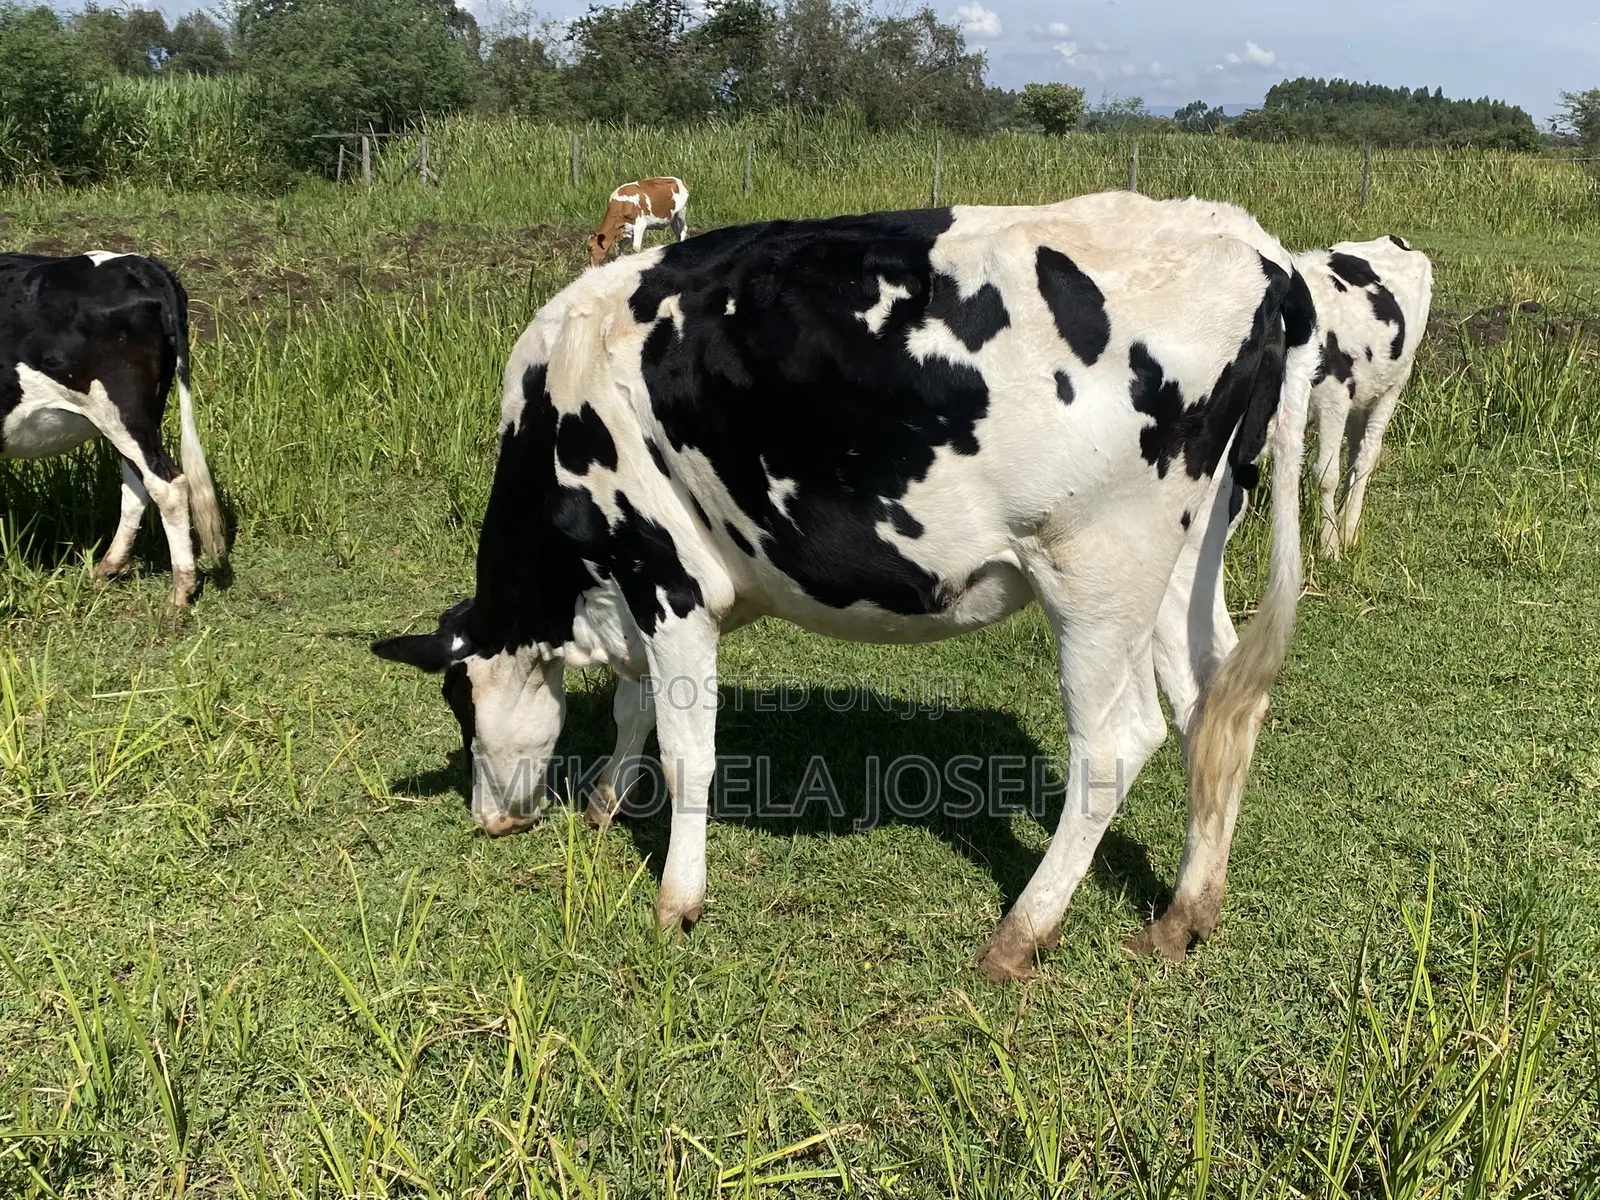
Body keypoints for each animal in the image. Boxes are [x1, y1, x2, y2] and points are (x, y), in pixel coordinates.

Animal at [1, 252, 227, 605]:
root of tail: (133, 262)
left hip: (121, 410)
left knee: (167, 484)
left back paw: (180, 591)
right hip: (138, 416)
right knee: (137, 483)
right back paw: (109, 567)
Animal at [373, 191, 1319, 981]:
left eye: (458, 702)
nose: (489, 818)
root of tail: (1249, 241)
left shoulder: (666, 577)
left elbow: (687, 750)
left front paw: (676, 900)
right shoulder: (637, 595)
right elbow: (635, 707)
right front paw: (607, 801)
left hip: (1096, 569)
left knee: (1119, 741)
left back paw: (1020, 933)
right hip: (1185, 557)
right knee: (1213, 708)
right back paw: (1184, 914)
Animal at [1296, 235, 1432, 557]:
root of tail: (1395, 240)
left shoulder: (1333, 399)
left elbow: (1324, 475)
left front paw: (1329, 545)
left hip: (1392, 386)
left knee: (1365, 456)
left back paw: (1348, 528)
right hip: (1362, 396)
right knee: (1355, 452)